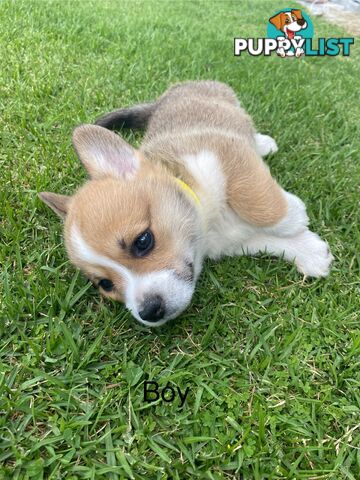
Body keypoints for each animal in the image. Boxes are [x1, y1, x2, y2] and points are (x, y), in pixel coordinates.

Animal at [38, 81, 334, 326]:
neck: (206, 219)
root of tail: (164, 97)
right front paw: (311, 252)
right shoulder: (233, 241)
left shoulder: (224, 154)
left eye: (143, 241)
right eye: (105, 284)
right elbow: (267, 242)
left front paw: (294, 213)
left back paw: (263, 143)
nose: (150, 311)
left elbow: (256, 199)